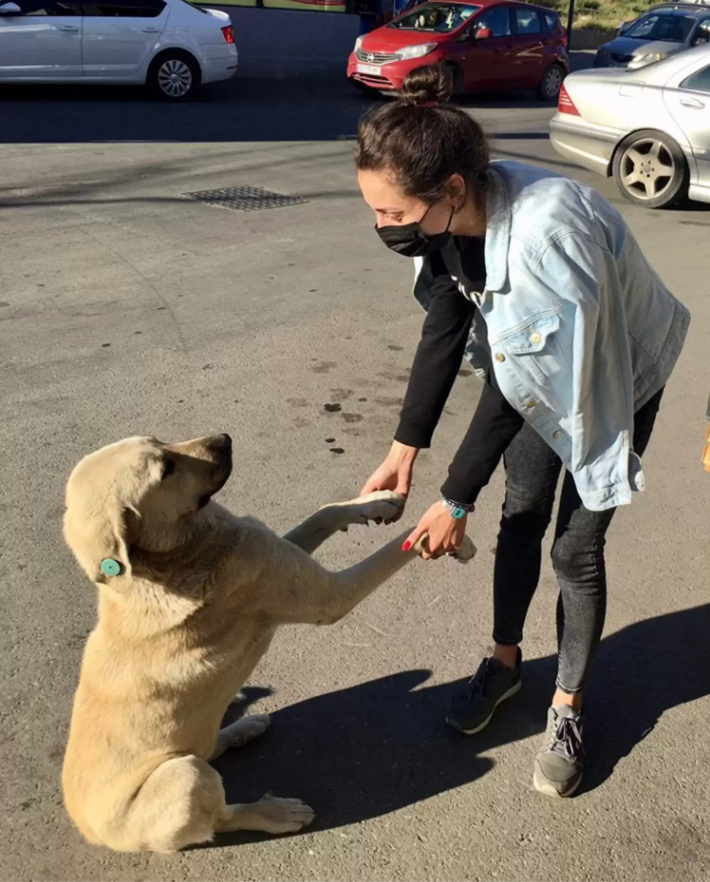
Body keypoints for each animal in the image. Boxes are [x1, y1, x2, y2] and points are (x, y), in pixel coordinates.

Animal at [62, 433, 475, 853]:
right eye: (165, 469)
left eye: (158, 439)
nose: (224, 439)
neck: (169, 558)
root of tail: (88, 830)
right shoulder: (330, 595)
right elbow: (396, 547)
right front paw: (444, 534)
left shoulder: (277, 548)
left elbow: (324, 512)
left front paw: (377, 501)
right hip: (185, 777)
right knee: (219, 816)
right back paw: (275, 813)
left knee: (209, 748)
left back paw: (241, 728)